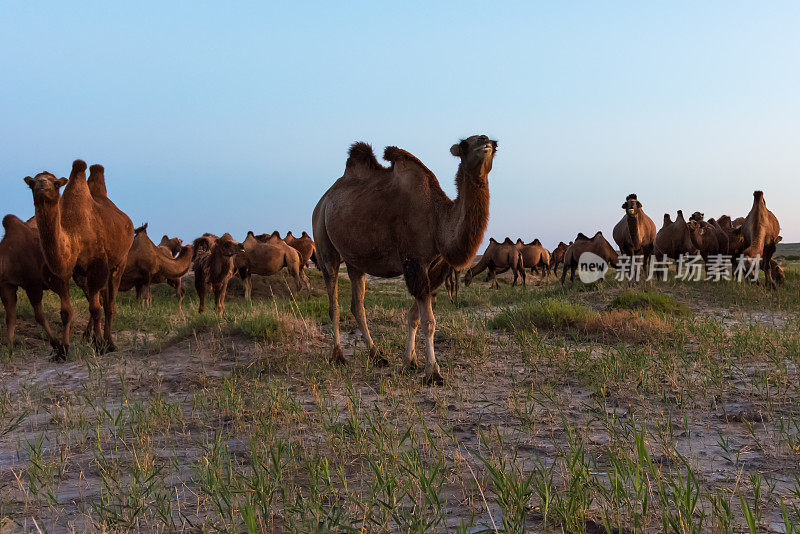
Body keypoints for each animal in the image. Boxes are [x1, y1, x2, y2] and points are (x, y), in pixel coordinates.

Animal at [0, 214, 59, 356]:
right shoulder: (7, 286)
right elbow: (10, 319)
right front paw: (10, 351)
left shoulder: (33, 284)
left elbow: (39, 316)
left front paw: (56, 343)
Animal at [24, 160, 133, 360]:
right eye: (32, 182)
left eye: (56, 183)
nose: (42, 184)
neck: (73, 232)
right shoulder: (64, 272)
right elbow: (67, 312)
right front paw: (63, 350)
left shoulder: (97, 265)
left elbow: (96, 308)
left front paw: (101, 345)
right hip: (83, 276)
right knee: (99, 299)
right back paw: (89, 337)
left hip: (120, 261)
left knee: (109, 304)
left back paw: (109, 342)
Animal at [310, 134, 494, 386]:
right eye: (465, 144)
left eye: (494, 143)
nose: (486, 142)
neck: (437, 218)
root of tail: (322, 200)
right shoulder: (414, 262)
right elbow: (429, 322)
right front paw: (433, 373)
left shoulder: (434, 268)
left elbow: (414, 317)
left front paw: (410, 362)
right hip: (324, 240)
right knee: (334, 303)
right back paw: (338, 356)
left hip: (356, 260)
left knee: (358, 305)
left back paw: (377, 356)